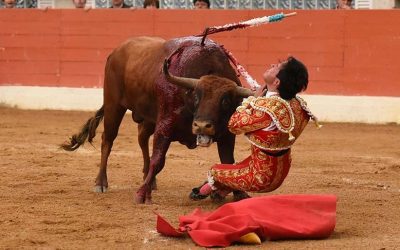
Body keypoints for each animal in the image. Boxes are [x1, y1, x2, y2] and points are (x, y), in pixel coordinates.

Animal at [61, 35, 252, 203]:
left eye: (225, 101)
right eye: (197, 96)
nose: (202, 126)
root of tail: (116, 52)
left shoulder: (227, 135)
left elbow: (228, 162)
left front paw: (240, 194)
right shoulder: (164, 126)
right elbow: (158, 160)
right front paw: (141, 195)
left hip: (148, 118)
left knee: (142, 138)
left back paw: (150, 180)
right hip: (113, 105)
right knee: (108, 140)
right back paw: (101, 183)